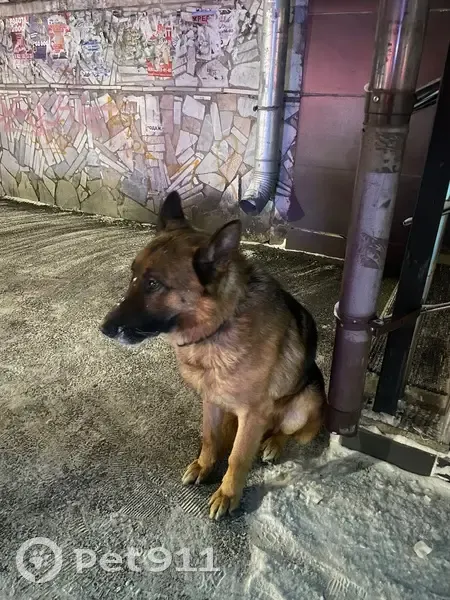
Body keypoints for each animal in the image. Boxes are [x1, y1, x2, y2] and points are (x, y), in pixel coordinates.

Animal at [101, 191, 327, 520]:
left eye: (153, 284)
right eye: (133, 276)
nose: (104, 328)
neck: (219, 325)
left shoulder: (253, 413)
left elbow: (238, 457)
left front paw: (228, 494)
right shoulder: (210, 399)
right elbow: (209, 437)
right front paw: (205, 466)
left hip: (304, 404)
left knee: (286, 432)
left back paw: (273, 443)